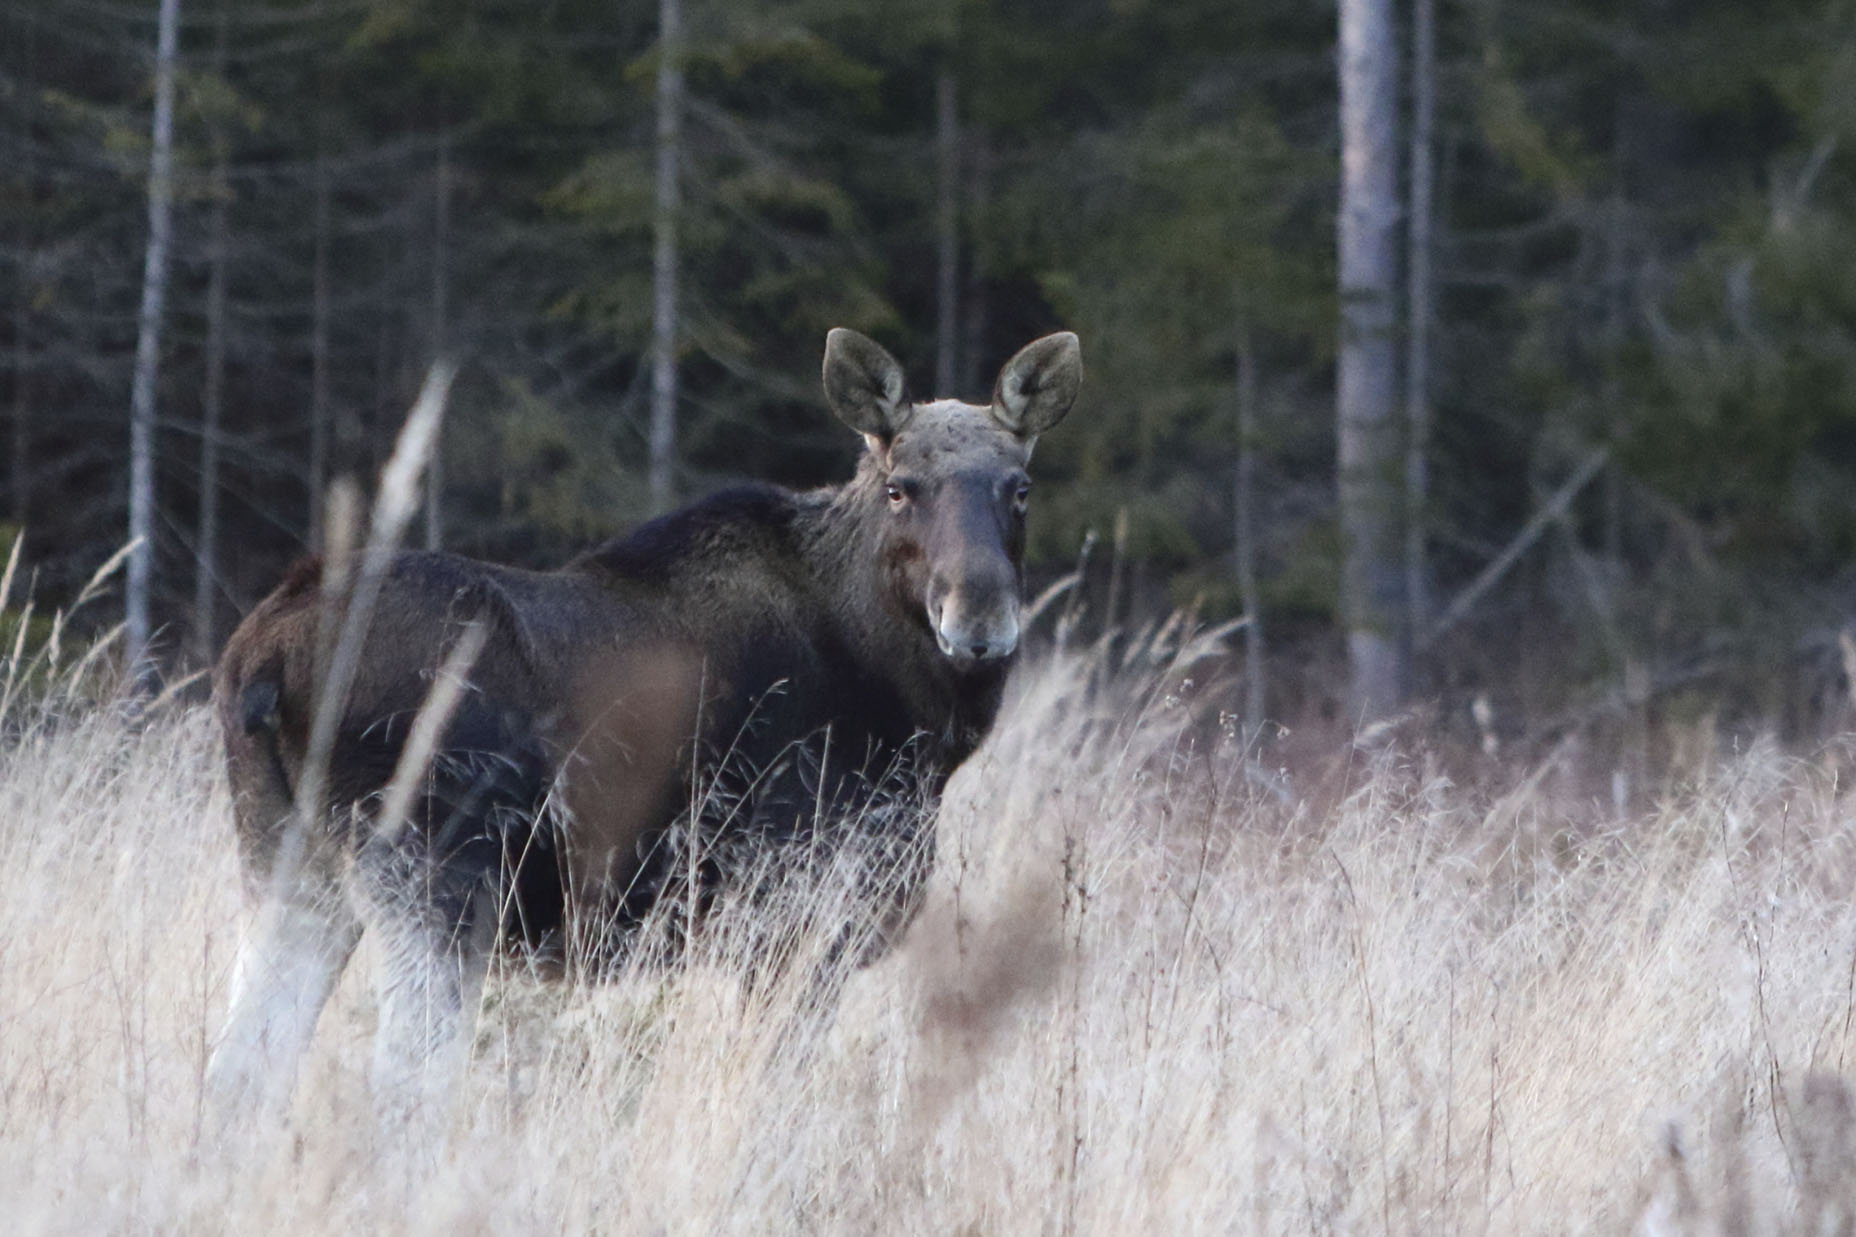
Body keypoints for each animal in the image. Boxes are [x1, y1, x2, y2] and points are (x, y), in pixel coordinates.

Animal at [206, 325, 1076, 1106]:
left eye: (1019, 488)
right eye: (902, 487)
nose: (979, 620)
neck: (918, 726)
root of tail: (260, 662)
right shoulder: (792, 921)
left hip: (290, 863)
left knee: (241, 1068)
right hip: (432, 878)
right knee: (400, 1086)